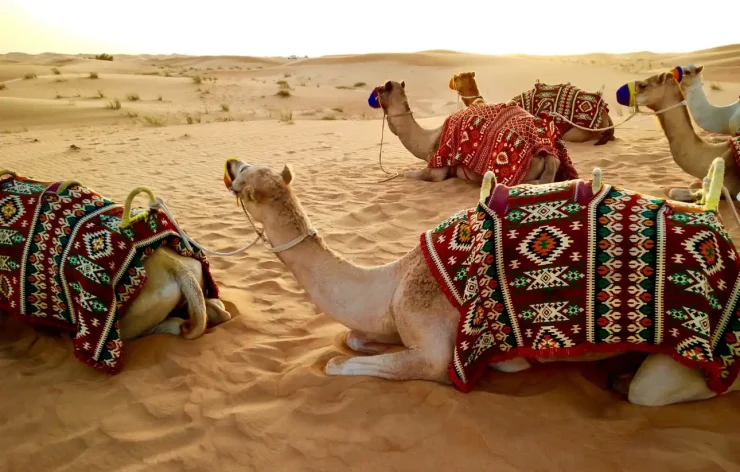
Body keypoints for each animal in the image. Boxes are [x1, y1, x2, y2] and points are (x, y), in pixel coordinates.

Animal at [224, 158, 740, 406]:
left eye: (246, 179)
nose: (230, 163)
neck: (392, 281)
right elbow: (353, 339)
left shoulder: (435, 350)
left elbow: (338, 363)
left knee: (663, 390)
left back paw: (625, 380)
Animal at [370, 80, 578, 185]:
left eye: (380, 89)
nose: (373, 96)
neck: (429, 141)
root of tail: (548, 154)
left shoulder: (437, 169)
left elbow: (410, 174)